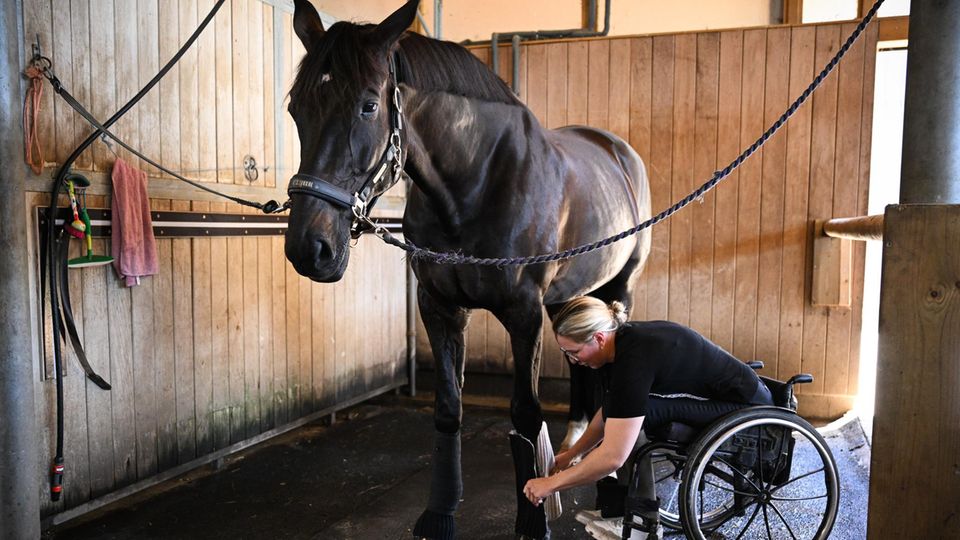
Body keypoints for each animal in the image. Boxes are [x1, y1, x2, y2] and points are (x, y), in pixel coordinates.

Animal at [284, 1, 651, 538]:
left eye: (369, 105)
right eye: (296, 108)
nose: (310, 249)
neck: (473, 184)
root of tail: (619, 151)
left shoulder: (523, 313)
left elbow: (525, 414)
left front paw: (532, 518)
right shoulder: (440, 307)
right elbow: (447, 408)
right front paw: (439, 512)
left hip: (619, 288)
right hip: (568, 295)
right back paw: (574, 443)